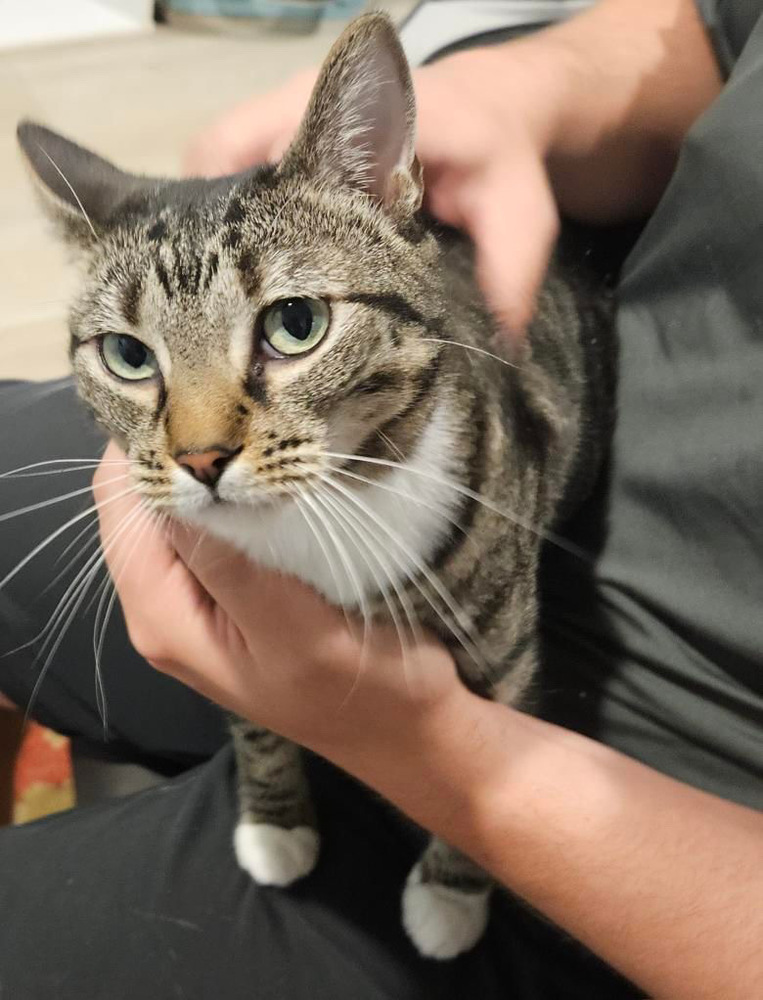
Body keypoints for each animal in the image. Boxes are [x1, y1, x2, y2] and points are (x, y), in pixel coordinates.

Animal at [17, 9, 616, 960]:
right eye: (127, 356)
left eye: (295, 324)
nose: (200, 459)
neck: (311, 521)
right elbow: (258, 722)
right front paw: (274, 824)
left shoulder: (505, 645)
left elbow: (481, 771)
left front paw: (449, 896)